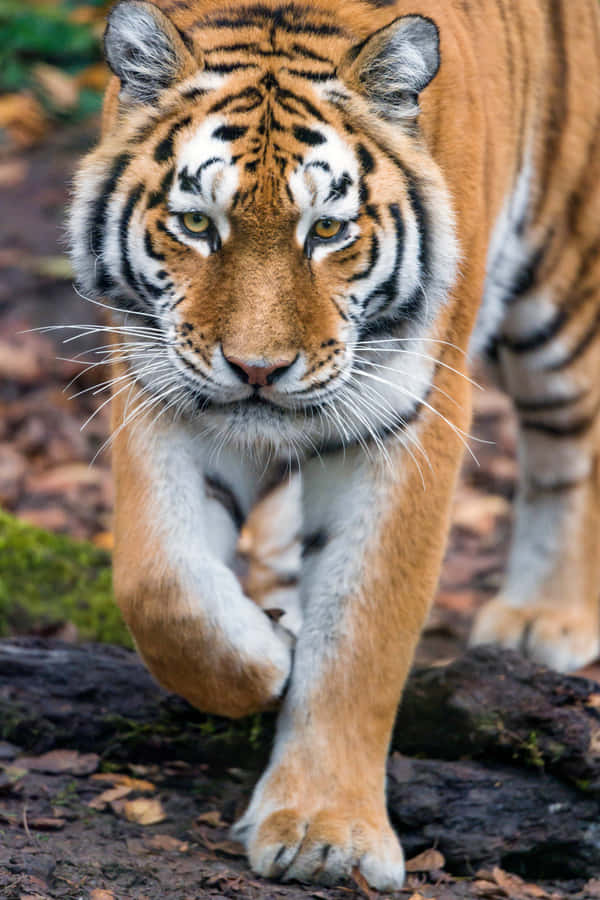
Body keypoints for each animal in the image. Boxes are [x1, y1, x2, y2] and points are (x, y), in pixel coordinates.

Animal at [69, 0, 600, 889]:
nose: (257, 369)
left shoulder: (408, 416)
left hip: (562, 270)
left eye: (327, 231)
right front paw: (269, 654)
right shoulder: (160, 384)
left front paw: (327, 834)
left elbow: (361, 632)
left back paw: (544, 618)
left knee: (572, 439)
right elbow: (161, 585)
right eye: (195, 224)